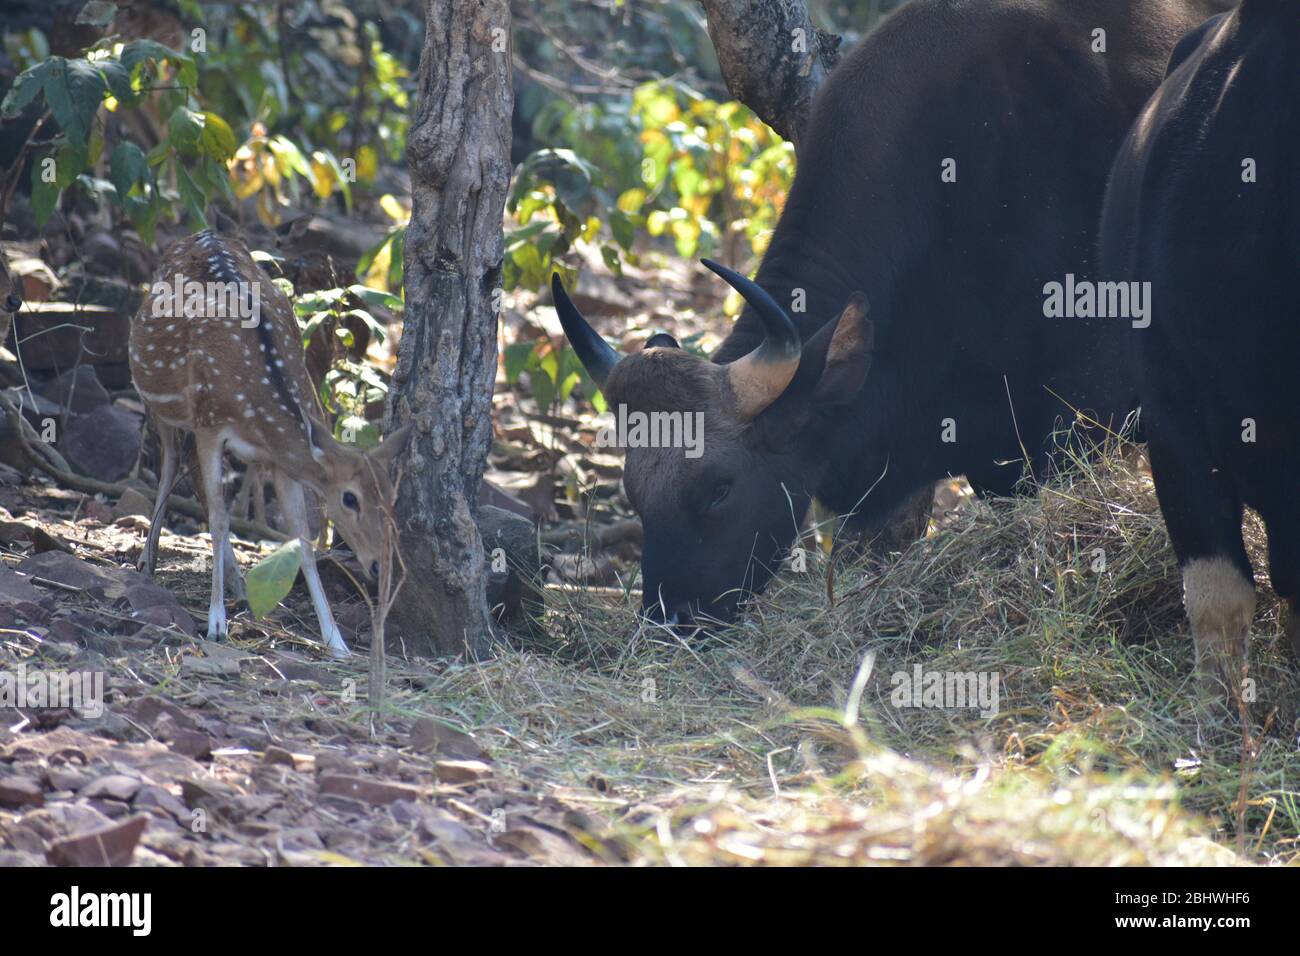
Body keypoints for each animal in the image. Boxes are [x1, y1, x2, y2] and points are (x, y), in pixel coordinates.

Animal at [131, 231, 405, 658]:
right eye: (350, 498)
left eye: (391, 498)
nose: (379, 566)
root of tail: (200, 233)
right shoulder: (210, 424)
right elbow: (220, 519)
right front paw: (216, 623)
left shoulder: (281, 461)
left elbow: (303, 542)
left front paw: (336, 641)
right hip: (161, 403)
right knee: (172, 464)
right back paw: (148, 561)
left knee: (192, 475)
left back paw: (239, 586)